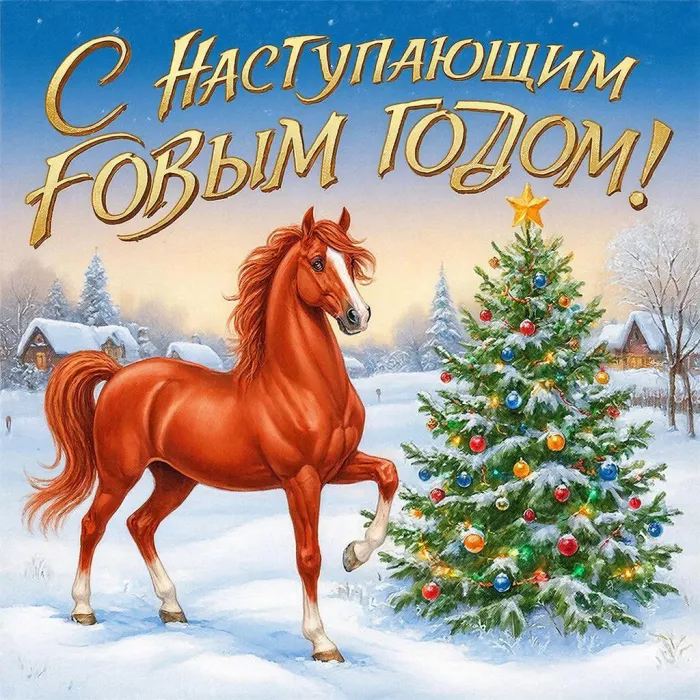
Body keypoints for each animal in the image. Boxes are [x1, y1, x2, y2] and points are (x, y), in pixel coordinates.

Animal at [24, 207, 398, 663]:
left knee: (139, 524)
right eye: (317, 263)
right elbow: (308, 557)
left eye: (353, 263)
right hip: (119, 474)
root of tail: (116, 375)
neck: (301, 385)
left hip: (175, 478)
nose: (357, 315)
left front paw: (355, 554)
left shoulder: (338, 465)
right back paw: (82, 609)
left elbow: (388, 473)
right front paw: (322, 643)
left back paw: (172, 607)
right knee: (93, 524)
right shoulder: (302, 479)